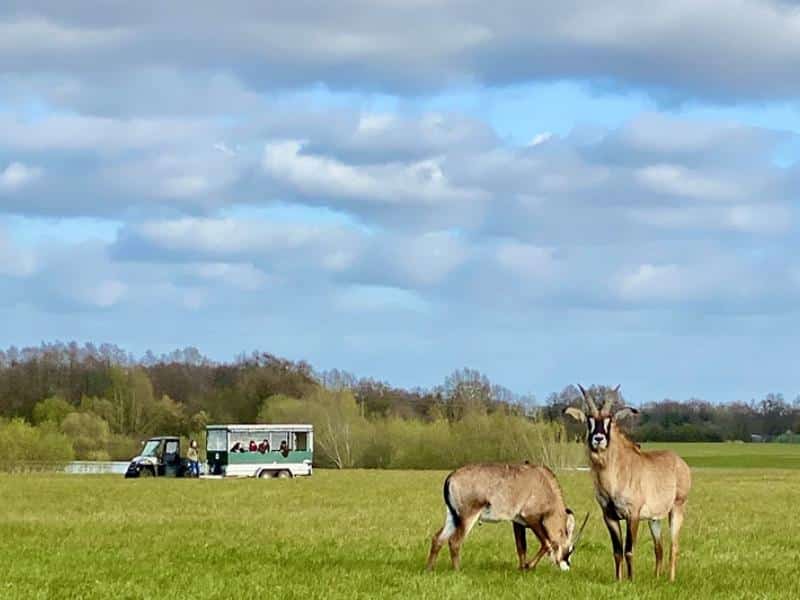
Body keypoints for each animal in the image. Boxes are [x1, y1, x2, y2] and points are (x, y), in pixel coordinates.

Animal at [424, 464, 588, 572]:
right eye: (570, 548)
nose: (566, 566)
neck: (544, 484)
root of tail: (451, 477)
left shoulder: (517, 521)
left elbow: (521, 546)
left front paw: (522, 568)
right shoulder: (532, 518)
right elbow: (546, 543)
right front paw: (528, 566)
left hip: (452, 516)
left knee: (438, 538)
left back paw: (429, 569)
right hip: (467, 516)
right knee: (455, 541)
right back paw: (458, 571)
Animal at [564, 386, 692, 580]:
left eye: (609, 421)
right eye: (589, 420)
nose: (598, 439)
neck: (615, 476)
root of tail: (680, 462)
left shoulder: (633, 515)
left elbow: (629, 550)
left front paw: (631, 580)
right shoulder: (609, 516)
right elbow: (617, 551)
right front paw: (618, 580)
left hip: (677, 508)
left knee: (673, 546)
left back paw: (670, 580)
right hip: (654, 519)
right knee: (659, 548)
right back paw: (656, 578)